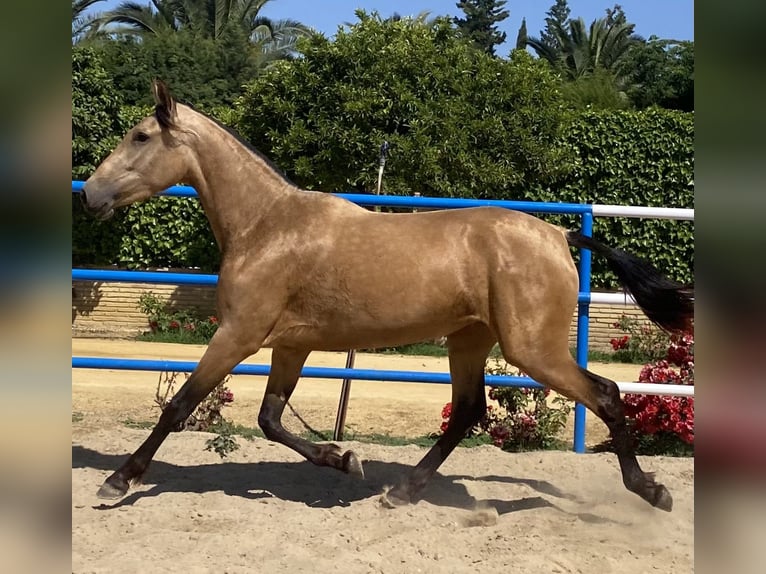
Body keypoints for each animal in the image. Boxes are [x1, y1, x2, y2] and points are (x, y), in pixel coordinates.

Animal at [82, 82, 696, 512]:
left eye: (140, 136)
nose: (89, 194)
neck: (267, 225)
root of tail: (559, 234)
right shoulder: (290, 345)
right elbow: (270, 418)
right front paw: (344, 459)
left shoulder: (239, 334)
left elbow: (181, 405)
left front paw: (117, 481)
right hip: (470, 340)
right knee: (469, 410)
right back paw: (401, 490)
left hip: (531, 349)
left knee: (606, 393)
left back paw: (651, 491)